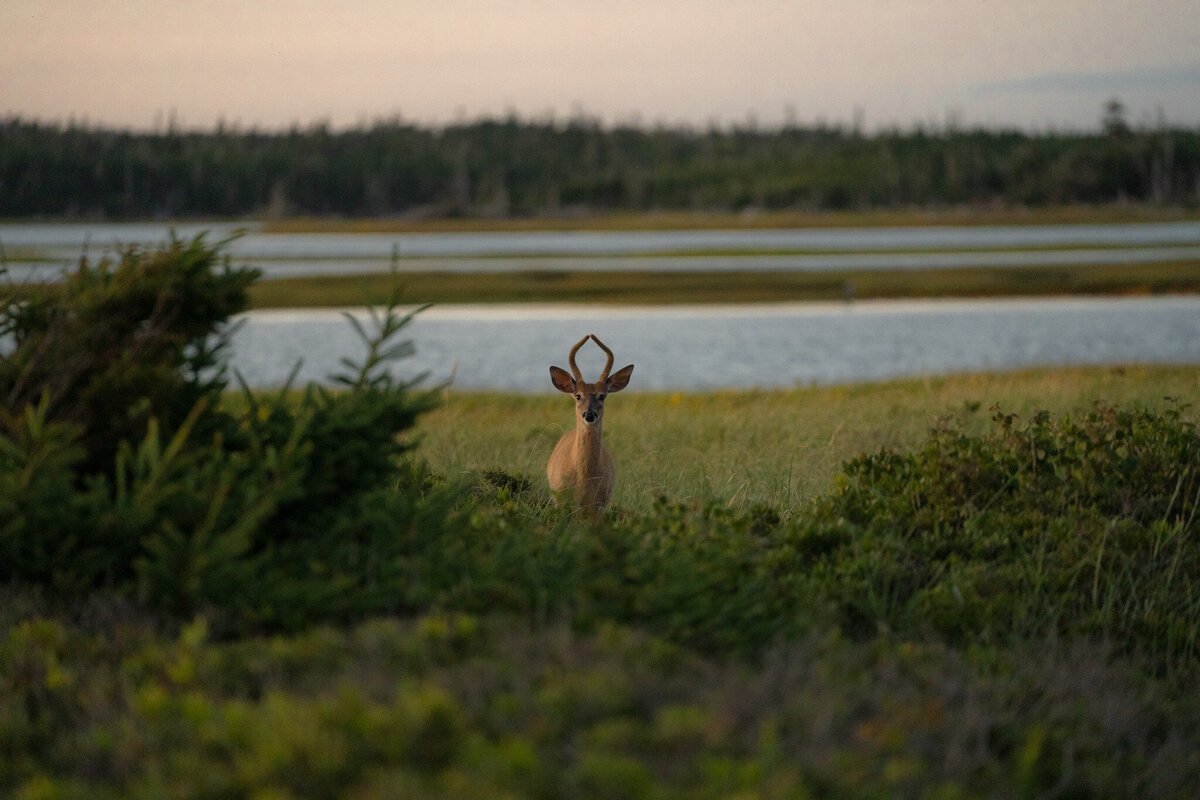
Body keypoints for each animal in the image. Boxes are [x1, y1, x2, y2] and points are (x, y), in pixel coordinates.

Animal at [547, 333, 633, 513]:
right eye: (578, 395)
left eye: (602, 395)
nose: (589, 415)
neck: (584, 481)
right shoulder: (561, 500)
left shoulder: (600, 504)